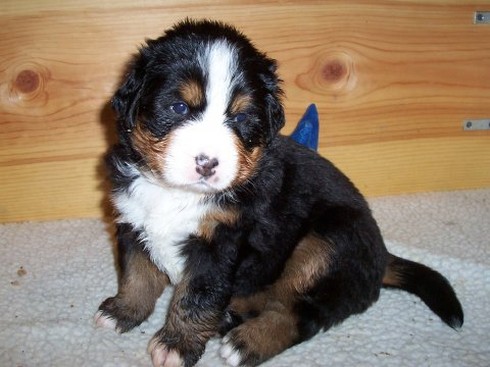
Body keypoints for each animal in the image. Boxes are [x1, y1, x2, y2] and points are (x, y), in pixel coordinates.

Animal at [94, 19, 464, 367]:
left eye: (241, 117)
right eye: (179, 108)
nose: (207, 163)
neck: (176, 193)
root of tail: (381, 254)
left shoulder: (221, 243)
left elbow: (196, 297)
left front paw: (176, 344)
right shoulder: (132, 220)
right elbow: (137, 275)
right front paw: (123, 312)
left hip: (326, 244)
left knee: (301, 314)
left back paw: (247, 343)